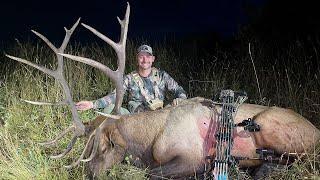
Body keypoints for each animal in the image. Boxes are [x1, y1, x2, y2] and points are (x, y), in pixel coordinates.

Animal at [5, 2, 320, 179]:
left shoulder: (192, 156)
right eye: (87, 149)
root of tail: (315, 128)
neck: (150, 140)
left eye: (102, 147)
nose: (88, 175)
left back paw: (262, 169)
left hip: (271, 126)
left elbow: (149, 173)